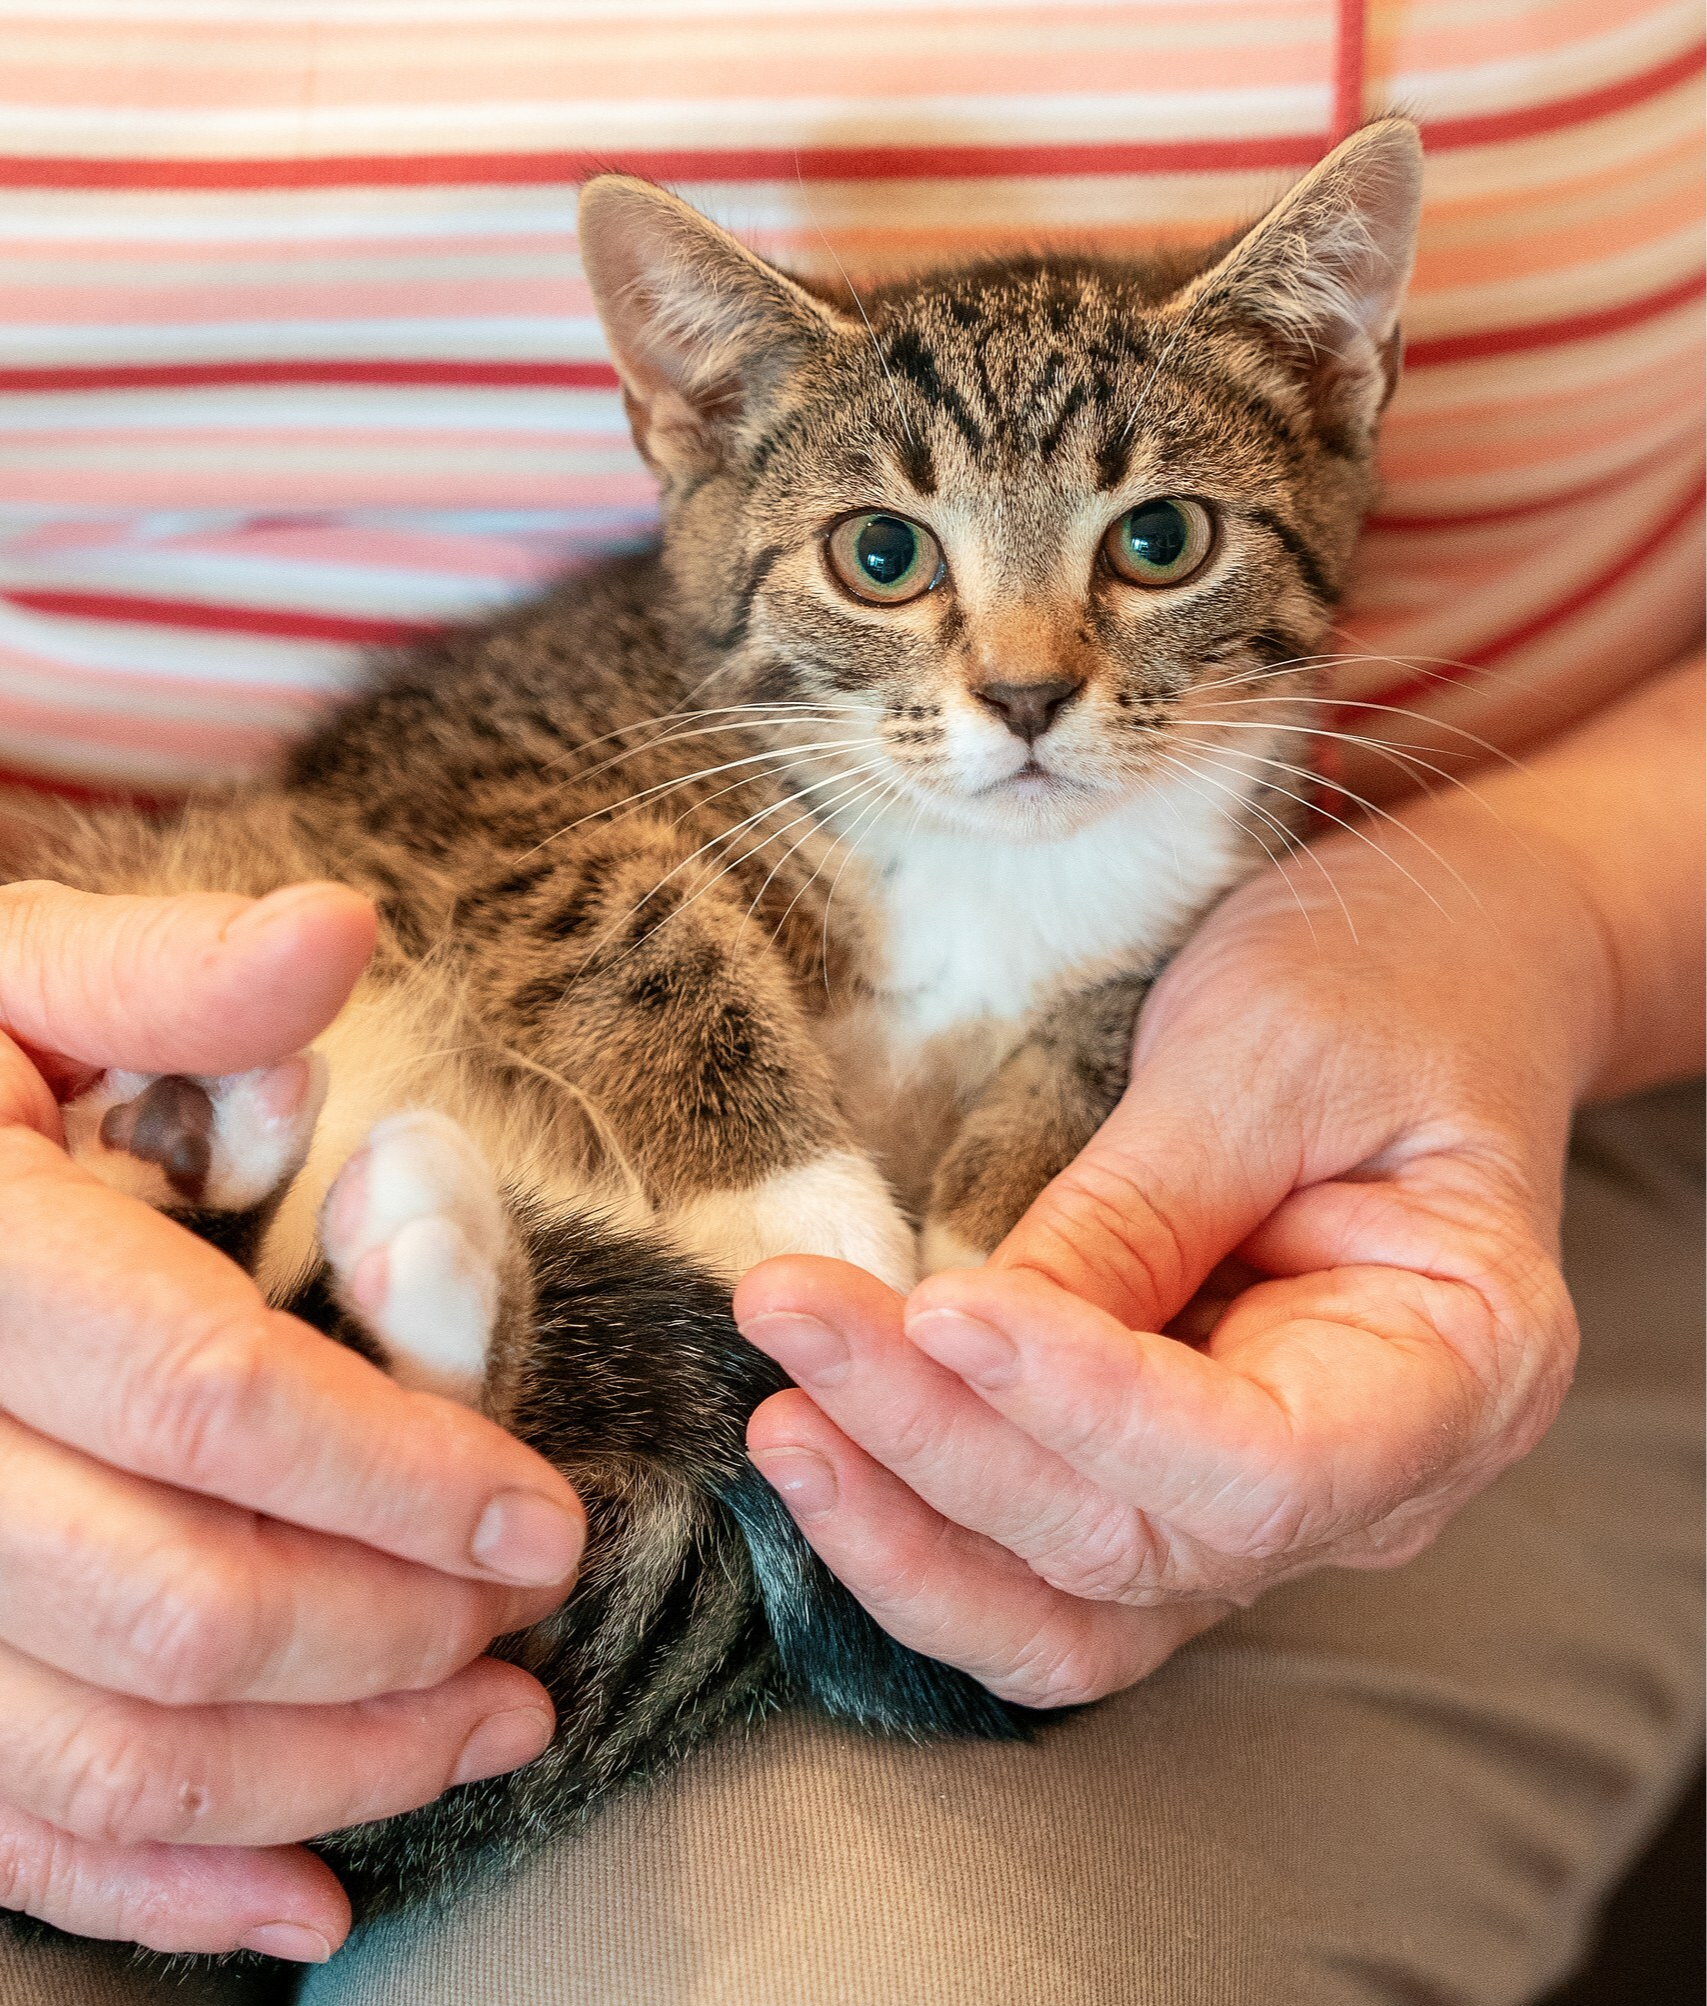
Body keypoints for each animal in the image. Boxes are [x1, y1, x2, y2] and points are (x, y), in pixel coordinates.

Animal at [10, 113, 1428, 1909]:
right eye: (880, 556)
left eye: (1158, 539)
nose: (1026, 695)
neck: (985, 862)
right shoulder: (482, 788)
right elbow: (631, 918)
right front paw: (806, 1208)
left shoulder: (1192, 906)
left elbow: (1105, 1027)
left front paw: (985, 1252)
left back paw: (313, 1189)